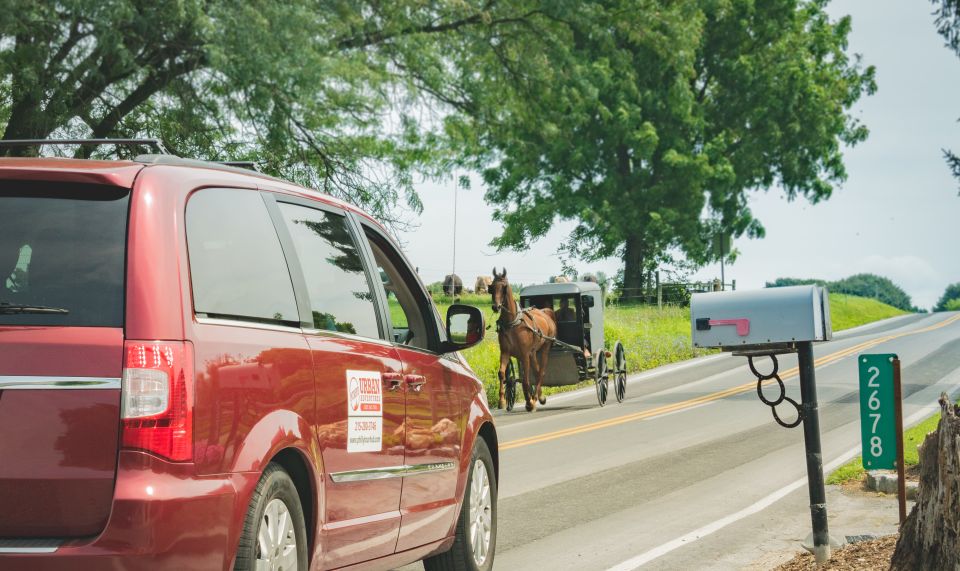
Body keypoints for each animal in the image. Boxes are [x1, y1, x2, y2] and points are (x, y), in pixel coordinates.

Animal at [492, 268, 560, 412]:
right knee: (537, 371)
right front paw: (501, 401)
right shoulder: (505, 352)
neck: (512, 323)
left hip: (544, 348)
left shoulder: (524, 355)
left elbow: (526, 380)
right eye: (491, 287)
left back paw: (534, 399)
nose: (496, 306)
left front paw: (529, 402)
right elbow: (502, 374)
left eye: (504, 287)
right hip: (533, 353)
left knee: (540, 373)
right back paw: (539, 397)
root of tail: (545, 313)